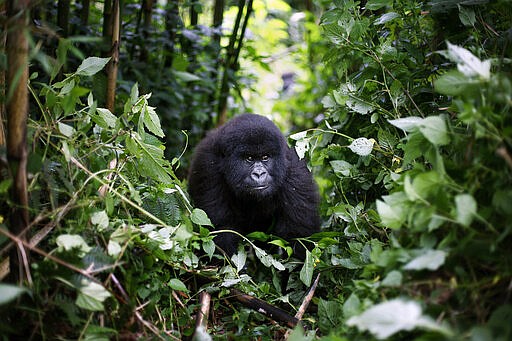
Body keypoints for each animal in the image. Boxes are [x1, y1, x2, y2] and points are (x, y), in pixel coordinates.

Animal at [188, 114, 320, 258]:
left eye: (265, 157)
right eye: (249, 158)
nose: (259, 173)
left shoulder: (296, 172)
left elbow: (298, 237)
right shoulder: (207, 166)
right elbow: (222, 229)